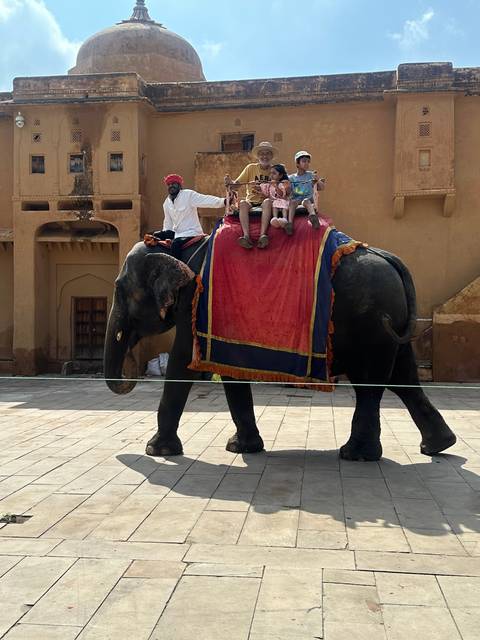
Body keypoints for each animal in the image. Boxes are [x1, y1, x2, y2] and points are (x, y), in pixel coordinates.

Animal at [104, 236, 456, 462]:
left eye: (120, 290)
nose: (133, 372)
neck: (178, 247)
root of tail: (391, 259)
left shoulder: (195, 298)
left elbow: (181, 363)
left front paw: (157, 451)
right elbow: (231, 373)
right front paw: (241, 448)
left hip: (371, 323)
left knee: (371, 385)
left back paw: (355, 455)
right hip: (392, 323)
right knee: (403, 379)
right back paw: (438, 446)